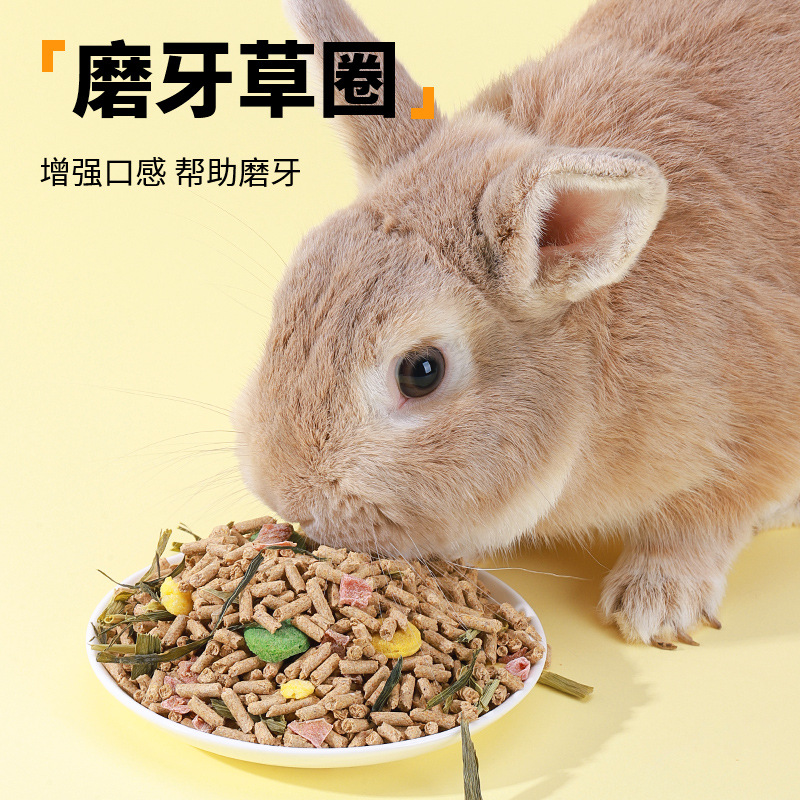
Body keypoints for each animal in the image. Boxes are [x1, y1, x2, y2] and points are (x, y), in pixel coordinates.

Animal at [232, 0, 800, 648]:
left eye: (421, 372)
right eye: (289, 302)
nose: (286, 496)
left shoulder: (756, 429)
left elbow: (703, 519)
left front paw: (652, 606)